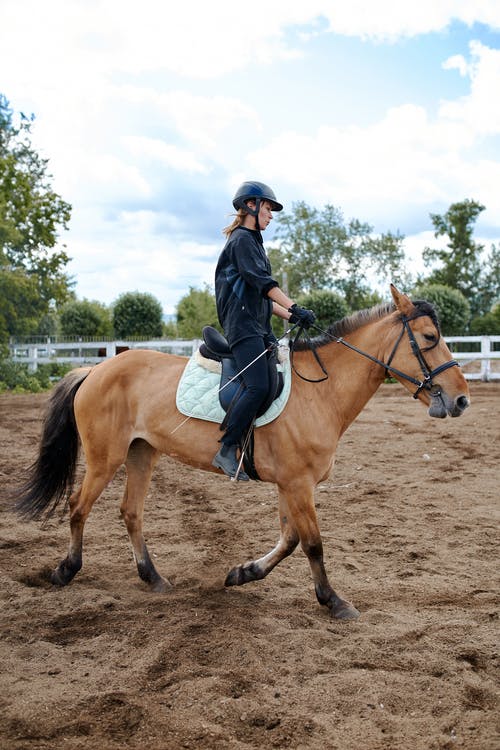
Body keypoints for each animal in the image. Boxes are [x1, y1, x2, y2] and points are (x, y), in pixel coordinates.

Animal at [13, 288, 470, 624]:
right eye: (429, 339)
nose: (461, 400)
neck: (321, 391)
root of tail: (95, 369)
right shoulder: (299, 484)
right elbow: (313, 544)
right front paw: (334, 601)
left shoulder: (291, 484)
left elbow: (289, 540)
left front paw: (243, 573)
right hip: (105, 457)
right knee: (78, 506)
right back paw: (66, 570)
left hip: (142, 453)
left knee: (131, 512)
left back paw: (153, 578)